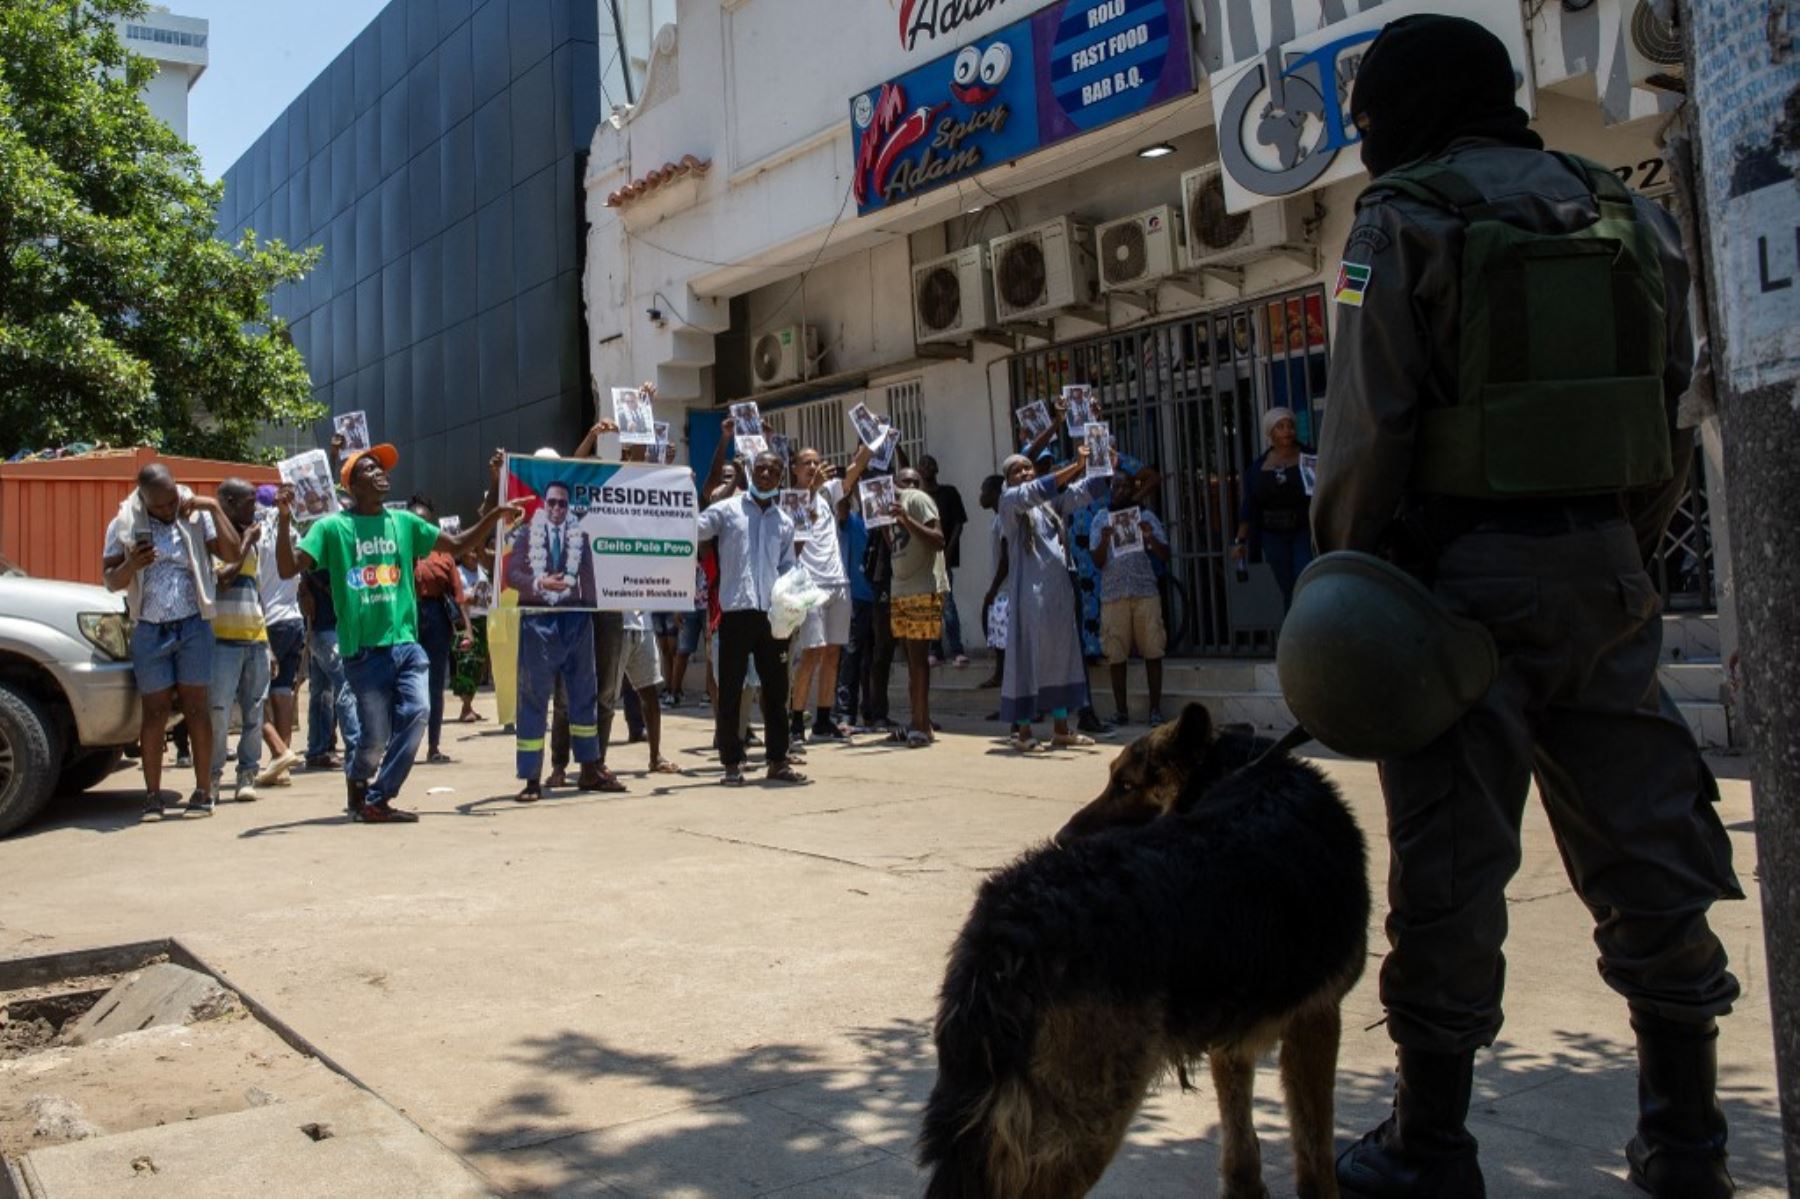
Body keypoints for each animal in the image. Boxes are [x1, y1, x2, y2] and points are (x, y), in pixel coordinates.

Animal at [921, 705, 1368, 1188]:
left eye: (1126, 784)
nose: (1062, 837)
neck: (1239, 769)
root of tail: (1006, 932)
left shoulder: (1235, 1039)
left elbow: (1241, 1153)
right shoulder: (1317, 1017)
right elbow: (1315, 1155)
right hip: (1082, 1128)